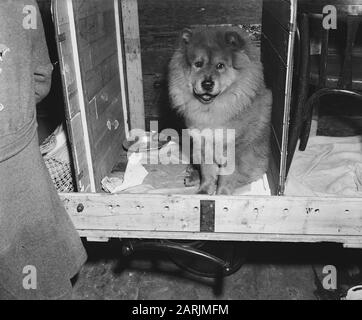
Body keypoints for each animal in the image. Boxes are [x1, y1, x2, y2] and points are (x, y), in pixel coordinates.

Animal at [168, 26, 270, 195]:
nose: (207, 83)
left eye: (220, 66)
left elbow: (226, 175)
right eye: (198, 64)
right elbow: (207, 171)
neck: (212, 110)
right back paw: (191, 176)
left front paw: (222, 194)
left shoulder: (234, 147)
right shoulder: (202, 142)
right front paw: (204, 191)